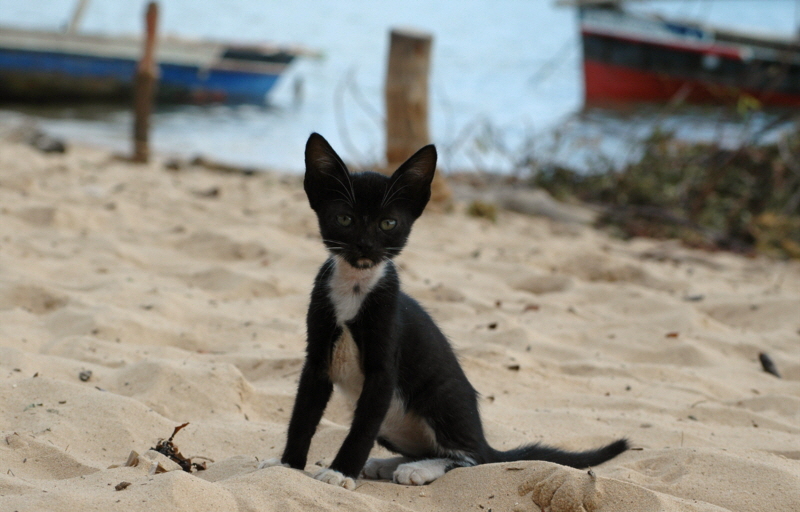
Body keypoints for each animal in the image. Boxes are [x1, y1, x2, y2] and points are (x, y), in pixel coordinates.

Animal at [260, 132, 628, 488]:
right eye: (345, 219)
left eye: (388, 223)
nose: (364, 245)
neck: (355, 288)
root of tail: (483, 438)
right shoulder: (317, 359)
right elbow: (302, 416)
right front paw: (288, 465)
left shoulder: (383, 370)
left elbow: (361, 428)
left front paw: (340, 472)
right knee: (426, 449)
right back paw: (386, 464)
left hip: (441, 396)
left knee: (470, 457)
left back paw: (418, 469)